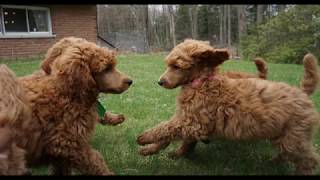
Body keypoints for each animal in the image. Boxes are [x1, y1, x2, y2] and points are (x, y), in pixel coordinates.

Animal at [138, 39, 320, 174]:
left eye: (176, 66)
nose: (160, 82)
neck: (202, 81)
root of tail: (302, 92)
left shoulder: (193, 122)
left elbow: (166, 128)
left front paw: (145, 138)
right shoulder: (192, 121)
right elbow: (175, 137)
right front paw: (155, 150)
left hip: (295, 137)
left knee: (309, 160)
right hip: (282, 134)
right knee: (286, 153)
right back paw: (273, 161)